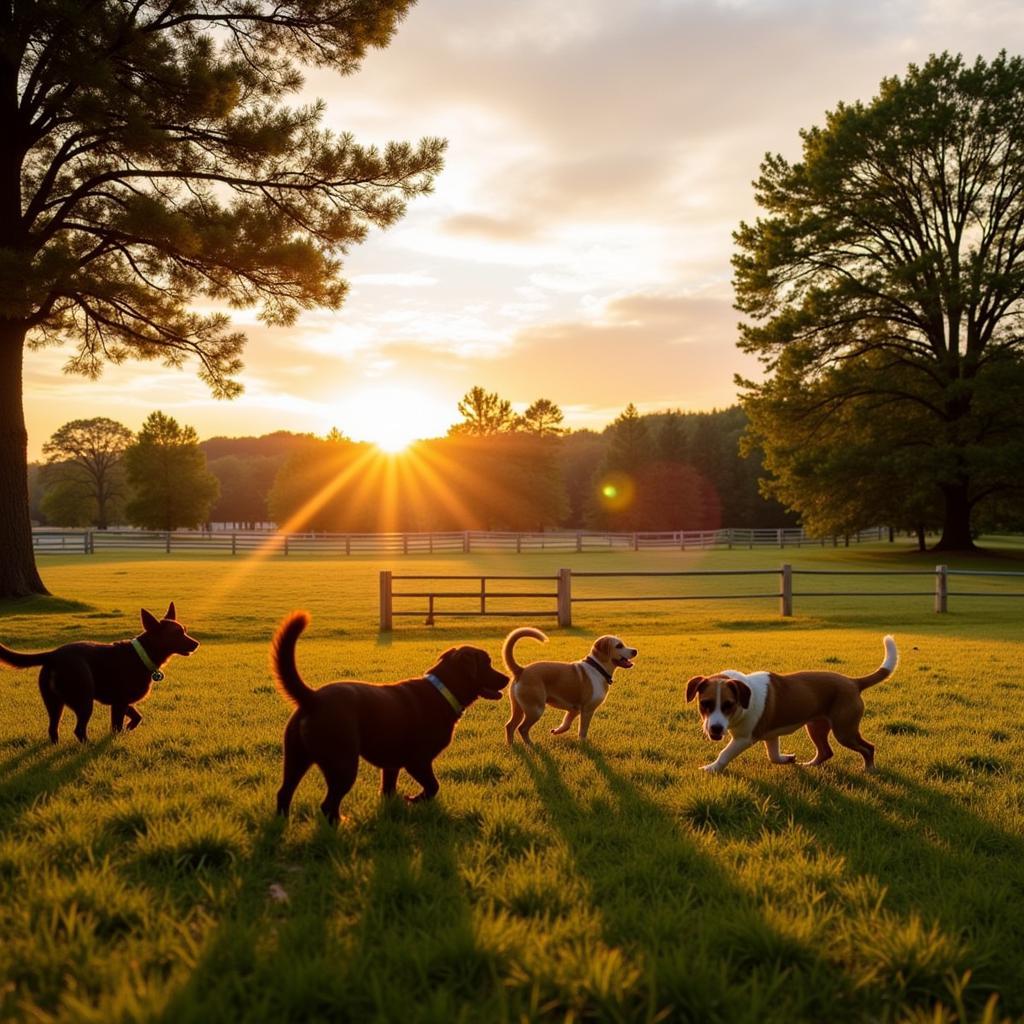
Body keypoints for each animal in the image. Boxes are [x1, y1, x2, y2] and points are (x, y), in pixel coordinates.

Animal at [0, 598, 199, 745]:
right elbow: (117, 726)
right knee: (79, 730)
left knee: (53, 729)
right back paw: (88, 746)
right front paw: (118, 737)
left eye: (185, 630)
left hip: (54, 703)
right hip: (84, 701)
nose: (196, 644)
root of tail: (53, 655)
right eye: (176, 634)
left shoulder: (121, 702)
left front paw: (129, 728)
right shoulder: (119, 703)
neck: (141, 654)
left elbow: (137, 717)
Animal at [272, 606, 512, 823]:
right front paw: (415, 799)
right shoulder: (418, 761)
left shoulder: (392, 764)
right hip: (343, 764)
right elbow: (433, 785)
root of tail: (312, 698)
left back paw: (281, 823)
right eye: (487, 663)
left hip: (295, 758)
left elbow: (388, 789)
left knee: (284, 793)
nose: (507, 678)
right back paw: (339, 825)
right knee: (327, 804)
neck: (442, 690)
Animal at [501, 622, 634, 745]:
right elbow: (583, 730)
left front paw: (556, 731)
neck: (598, 668)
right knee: (522, 728)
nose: (635, 651)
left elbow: (566, 723)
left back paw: (511, 745)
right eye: (619, 646)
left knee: (510, 725)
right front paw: (583, 743)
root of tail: (521, 670)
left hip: (518, 707)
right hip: (535, 709)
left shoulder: (574, 710)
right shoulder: (587, 710)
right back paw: (530, 744)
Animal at [688, 634, 897, 770]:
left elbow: (725, 754)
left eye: (728, 705)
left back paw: (869, 769)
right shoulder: (771, 735)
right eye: (705, 703)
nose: (715, 728)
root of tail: (853, 682)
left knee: (868, 747)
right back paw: (809, 765)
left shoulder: (744, 738)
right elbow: (773, 756)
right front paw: (787, 759)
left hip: (844, 731)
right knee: (826, 751)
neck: (745, 700)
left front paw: (711, 768)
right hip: (816, 726)